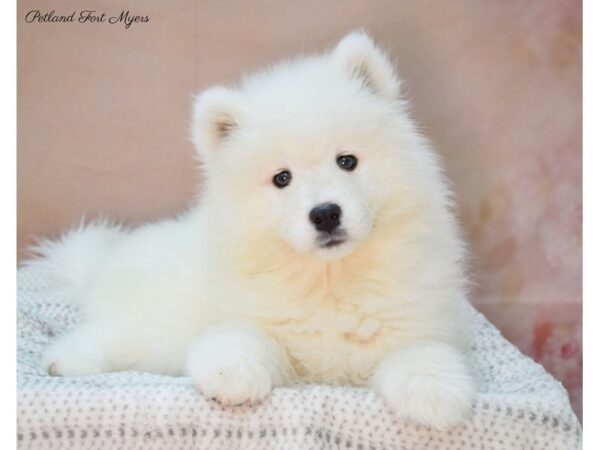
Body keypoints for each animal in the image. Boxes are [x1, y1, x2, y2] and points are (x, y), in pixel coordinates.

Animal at [27, 30, 474, 428]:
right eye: (282, 178)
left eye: (347, 161)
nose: (325, 213)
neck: (327, 279)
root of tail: (103, 264)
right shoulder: (245, 316)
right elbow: (242, 338)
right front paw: (232, 377)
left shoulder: (415, 318)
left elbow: (421, 351)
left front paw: (433, 392)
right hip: (151, 324)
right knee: (103, 335)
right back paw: (61, 360)